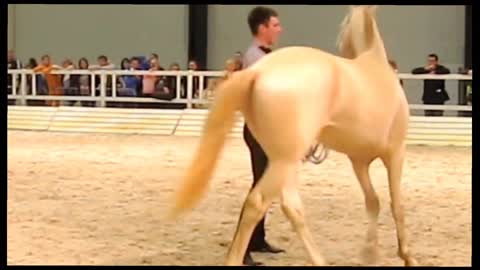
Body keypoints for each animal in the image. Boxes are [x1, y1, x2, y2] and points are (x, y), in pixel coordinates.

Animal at [169, 5, 416, 266]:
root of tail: (258, 71)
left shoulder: (358, 160)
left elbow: (373, 201)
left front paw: (370, 253)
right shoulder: (395, 152)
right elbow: (397, 205)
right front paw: (407, 256)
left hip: (283, 160)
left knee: (291, 206)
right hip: (284, 161)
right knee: (258, 203)